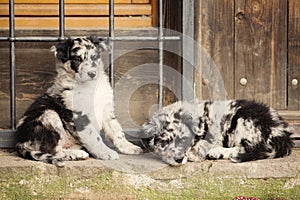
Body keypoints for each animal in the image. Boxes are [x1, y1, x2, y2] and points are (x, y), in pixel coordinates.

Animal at [15, 36, 143, 167]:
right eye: (77, 59)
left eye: (94, 57)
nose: (92, 74)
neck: (88, 86)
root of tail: (20, 142)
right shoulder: (79, 116)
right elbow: (94, 137)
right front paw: (106, 152)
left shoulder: (106, 110)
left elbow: (117, 131)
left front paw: (129, 147)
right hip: (49, 115)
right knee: (52, 150)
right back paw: (75, 154)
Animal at [142, 100, 294, 166]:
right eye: (164, 143)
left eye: (184, 140)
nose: (179, 159)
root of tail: (282, 132)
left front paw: (195, 153)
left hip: (244, 121)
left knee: (249, 147)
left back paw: (216, 152)